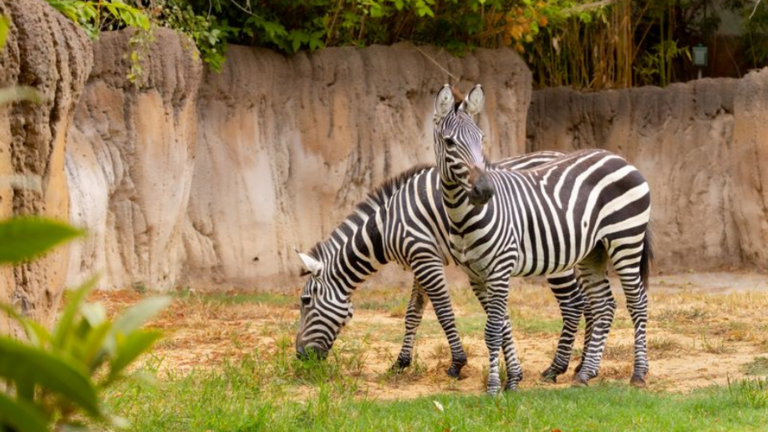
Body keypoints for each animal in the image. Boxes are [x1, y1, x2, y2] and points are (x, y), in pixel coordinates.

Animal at [295, 152, 592, 382]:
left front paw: (457, 364)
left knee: (573, 304)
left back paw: (556, 368)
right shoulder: (421, 259)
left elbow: (443, 312)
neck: (386, 226)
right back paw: (581, 366)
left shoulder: (425, 257)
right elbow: (413, 313)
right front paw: (401, 362)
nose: (299, 357)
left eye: (305, 301)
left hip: (556, 254)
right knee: (590, 303)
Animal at [432, 84, 652, 394]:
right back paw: (585, 373)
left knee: (638, 302)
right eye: (450, 142)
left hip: (626, 240)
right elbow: (503, 326)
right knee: (604, 304)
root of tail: (618, 158)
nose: (485, 191)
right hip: (593, 251)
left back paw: (639, 373)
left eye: (481, 139)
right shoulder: (476, 275)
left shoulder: (500, 268)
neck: (462, 217)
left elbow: (492, 331)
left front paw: (494, 388)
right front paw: (513, 380)